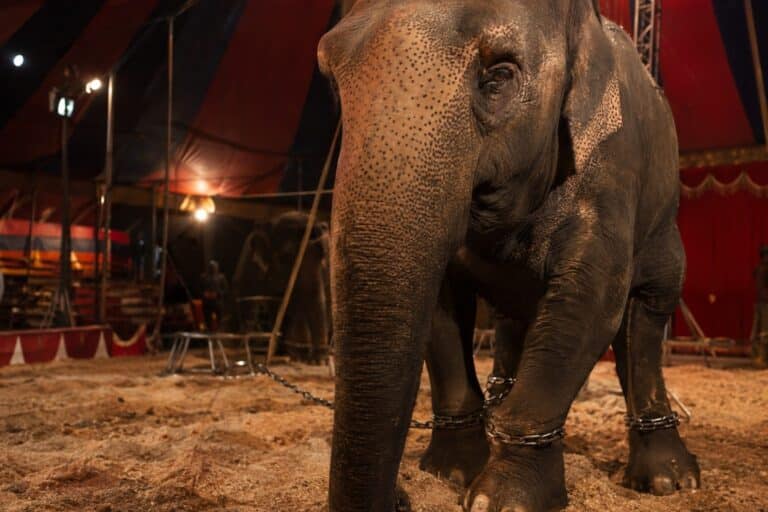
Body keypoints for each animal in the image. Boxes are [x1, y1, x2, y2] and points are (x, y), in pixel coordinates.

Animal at [232, 211, 331, 363]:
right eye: (286, 257)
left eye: (323, 255)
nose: (319, 360)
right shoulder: (249, 264)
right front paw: (300, 357)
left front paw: (311, 359)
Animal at [318, 1, 700, 511]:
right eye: (332, 77)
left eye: (499, 75)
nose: (399, 498)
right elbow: (441, 310)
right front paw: (453, 474)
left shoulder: (611, 166)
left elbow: (591, 299)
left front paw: (498, 499)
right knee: (516, 320)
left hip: (663, 225)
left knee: (644, 317)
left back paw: (669, 482)